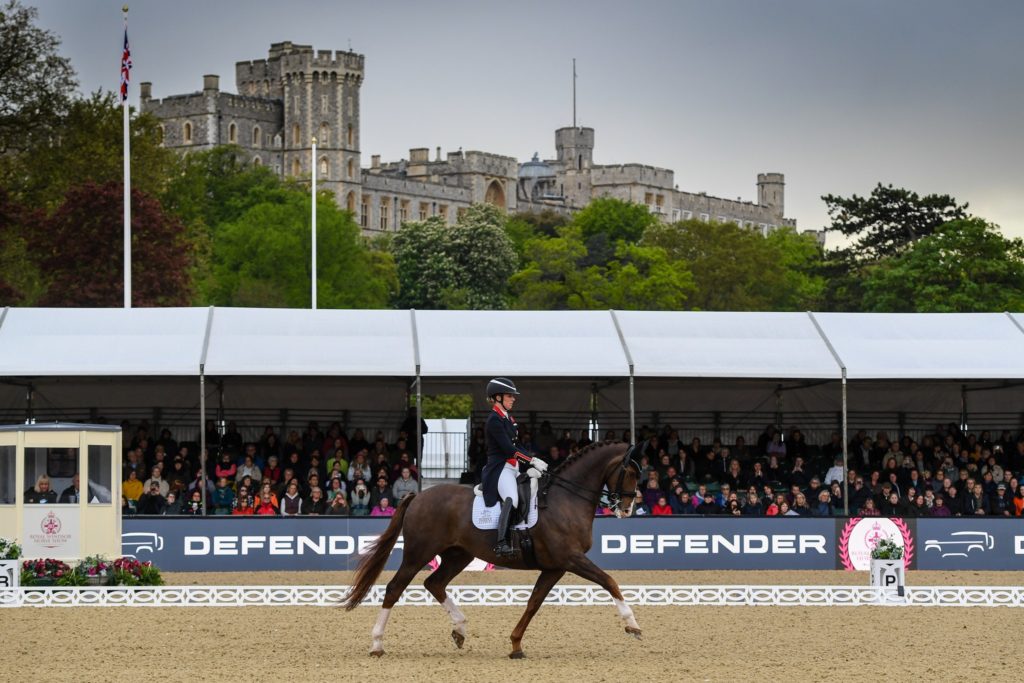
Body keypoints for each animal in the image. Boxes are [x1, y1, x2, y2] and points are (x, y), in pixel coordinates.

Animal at [344, 440, 638, 659]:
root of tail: (418, 496)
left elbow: (534, 602)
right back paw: (377, 644)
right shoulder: (571, 558)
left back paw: (460, 630)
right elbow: (609, 581)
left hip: (459, 554)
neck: (564, 499)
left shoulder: (555, 566)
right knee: (395, 588)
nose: (627, 509)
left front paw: (516, 645)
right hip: (418, 553)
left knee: (434, 583)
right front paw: (632, 625)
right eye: (631, 473)